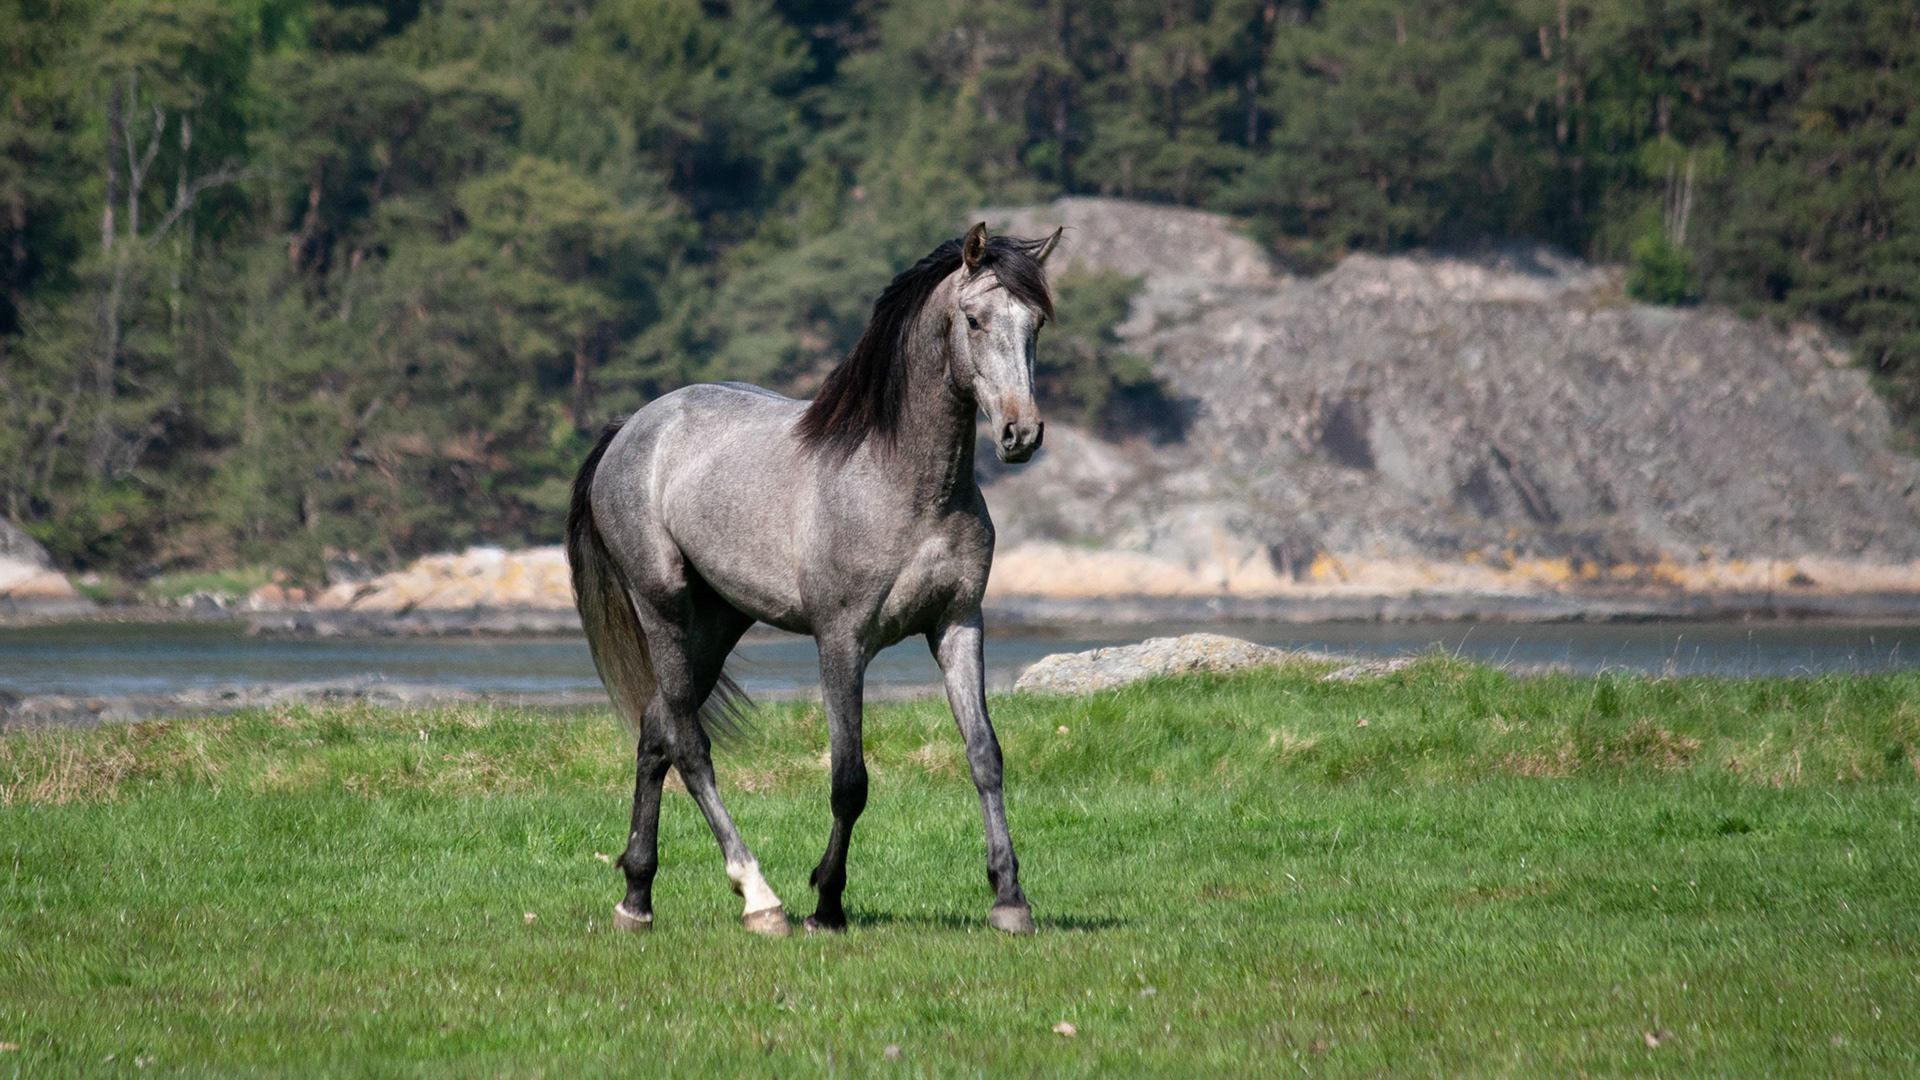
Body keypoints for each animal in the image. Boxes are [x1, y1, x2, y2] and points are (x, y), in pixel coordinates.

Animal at [566, 222, 1063, 937]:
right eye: (973, 319)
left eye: (1036, 325)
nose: (1021, 434)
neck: (902, 484)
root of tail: (630, 428)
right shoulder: (841, 641)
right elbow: (849, 780)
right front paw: (826, 903)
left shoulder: (958, 625)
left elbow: (984, 756)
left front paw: (1009, 899)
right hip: (662, 607)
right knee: (689, 743)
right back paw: (759, 898)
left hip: (719, 620)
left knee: (655, 730)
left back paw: (637, 897)